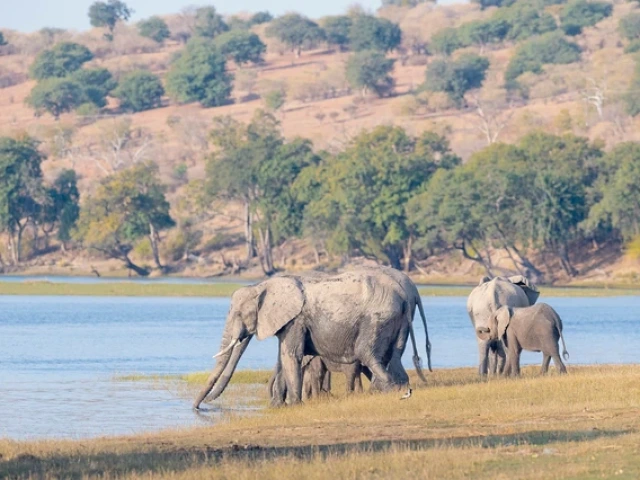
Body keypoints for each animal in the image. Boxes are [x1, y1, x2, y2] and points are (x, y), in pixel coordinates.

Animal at [193, 268, 429, 409]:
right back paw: (398, 388)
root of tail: (406, 294)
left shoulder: (296, 319)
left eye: (239, 314)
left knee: (367, 354)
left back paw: (384, 391)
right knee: (394, 356)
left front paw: (294, 405)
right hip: (398, 320)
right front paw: (277, 406)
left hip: (377, 319)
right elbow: (283, 358)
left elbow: (290, 356)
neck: (263, 285)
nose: (197, 408)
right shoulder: (290, 322)